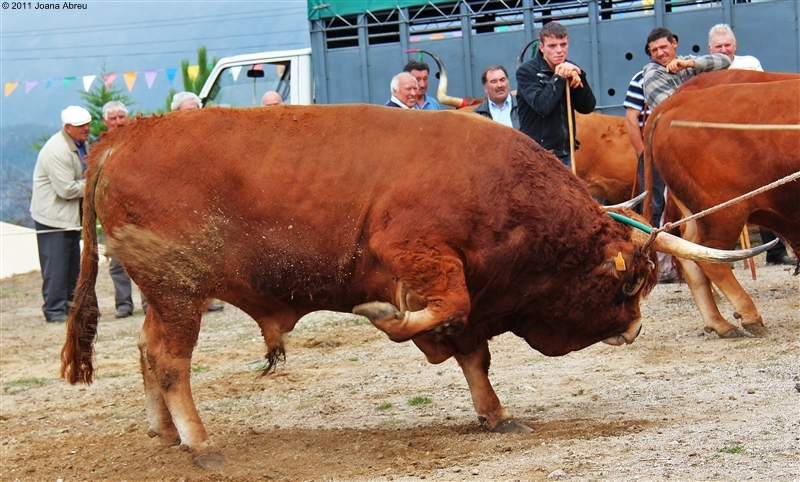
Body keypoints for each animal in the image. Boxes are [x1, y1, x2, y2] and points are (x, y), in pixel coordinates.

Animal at [61, 104, 764, 466]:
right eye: (627, 287)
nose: (635, 329)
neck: (504, 192)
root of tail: (125, 135)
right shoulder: (424, 260)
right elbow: (436, 313)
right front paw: (383, 316)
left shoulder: (477, 296)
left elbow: (473, 352)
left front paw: (494, 414)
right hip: (180, 291)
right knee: (170, 362)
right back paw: (199, 442)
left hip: (163, 297)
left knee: (147, 354)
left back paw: (164, 432)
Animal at [648, 69, 796, 338]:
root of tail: (673, 105)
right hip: (724, 214)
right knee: (710, 256)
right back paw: (749, 315)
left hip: (699, 213)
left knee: (690, 252)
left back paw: (718, 322)